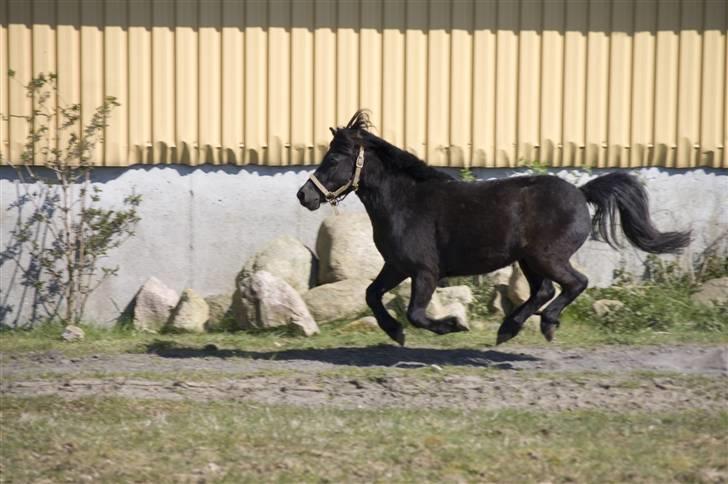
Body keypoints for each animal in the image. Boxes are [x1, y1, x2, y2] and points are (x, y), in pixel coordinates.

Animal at [298, 110, 692, 344]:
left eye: (334, 158)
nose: (305, 195)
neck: (406, 201)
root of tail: (581, 194)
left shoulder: (425, 271)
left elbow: (416, 313)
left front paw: (451, 325)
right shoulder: (396, 266)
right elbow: (371, 295)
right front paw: (395, 333)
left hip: (547, 257)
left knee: (574, 284)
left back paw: (545, 325)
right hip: (529, 261)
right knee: (544, 291)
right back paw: (508, 330)